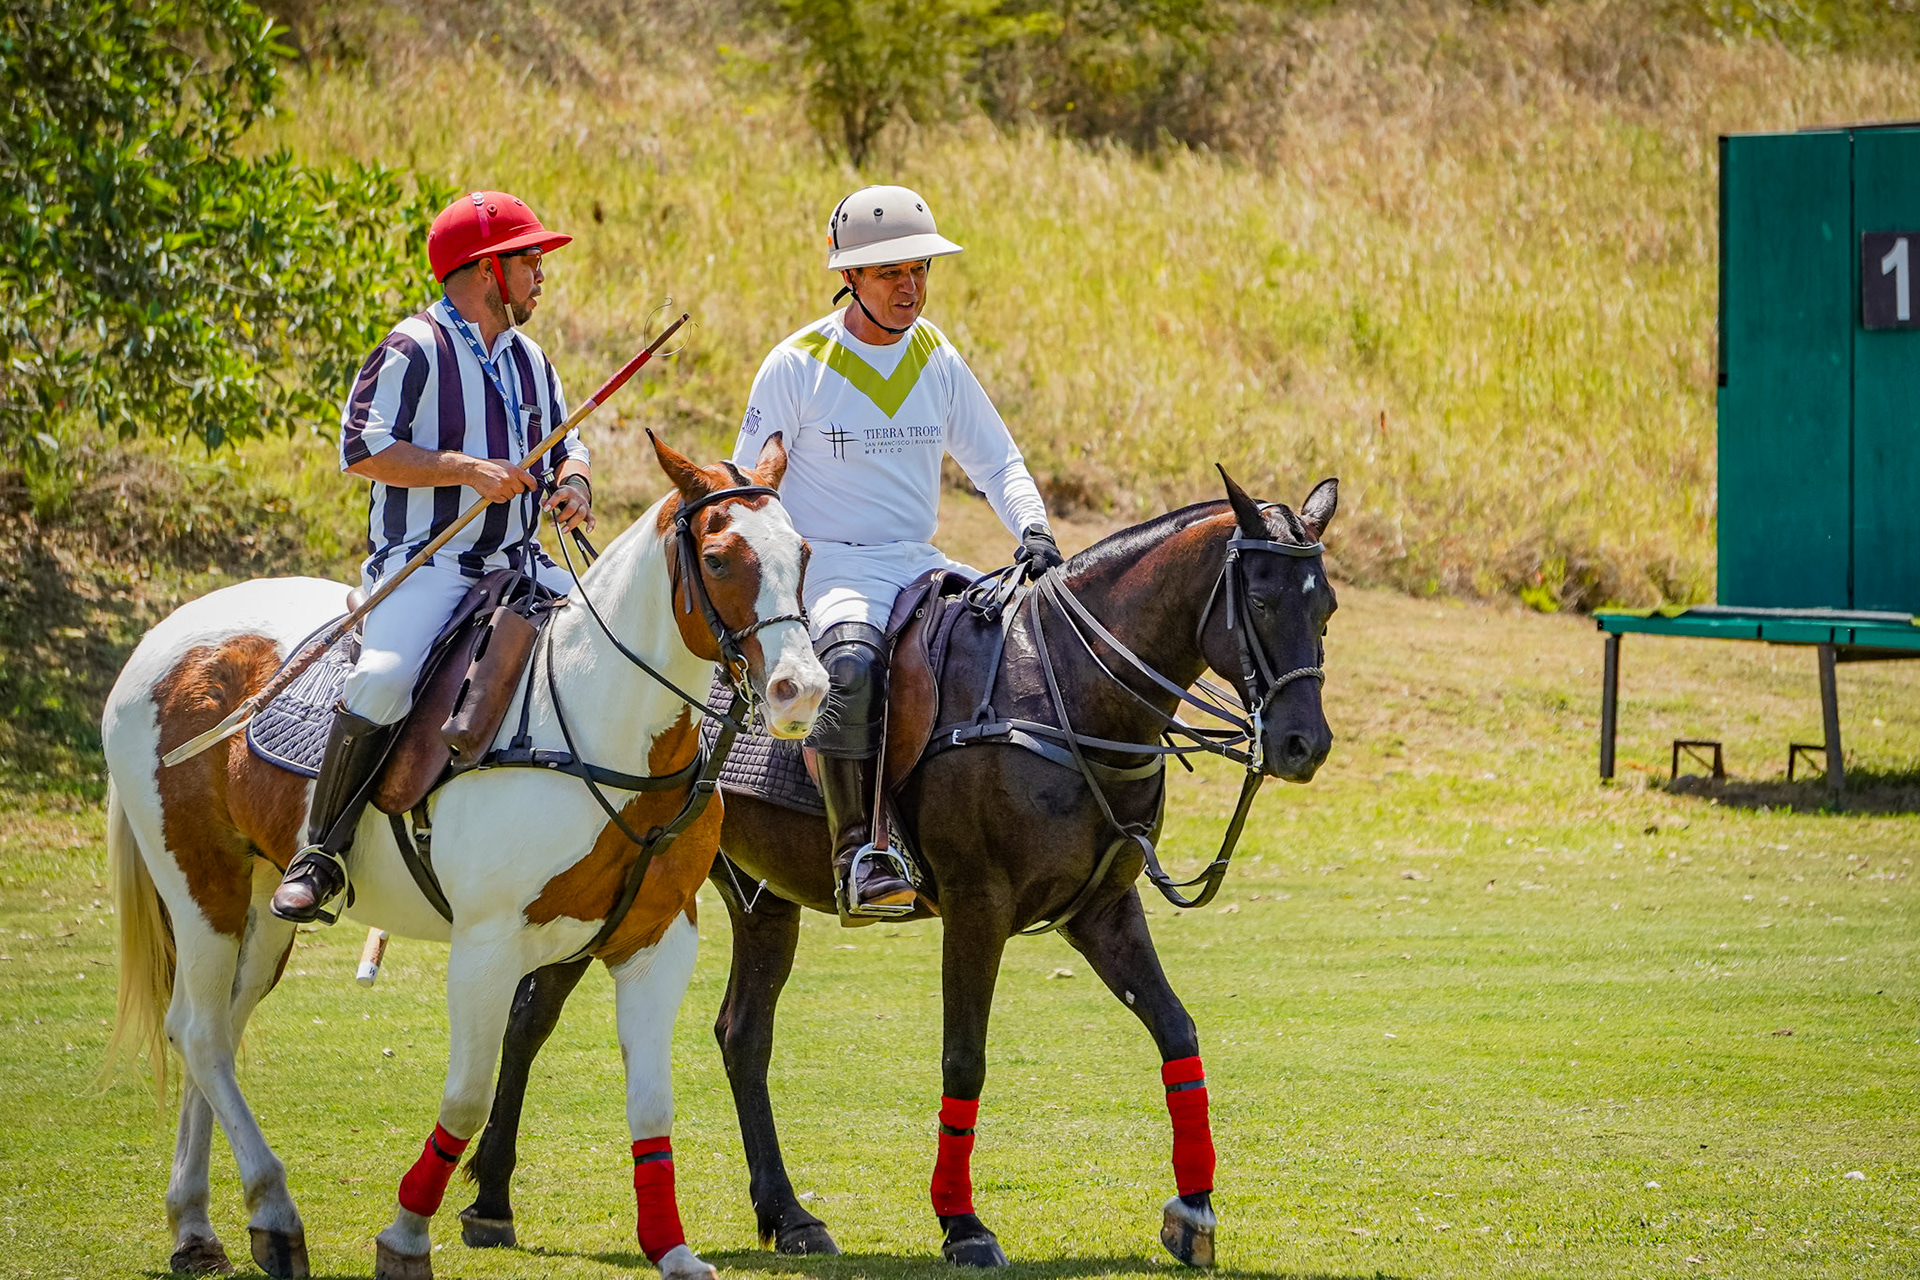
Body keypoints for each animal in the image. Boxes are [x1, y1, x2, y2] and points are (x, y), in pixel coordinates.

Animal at [101, 434, 826, 1280]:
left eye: (802, 552)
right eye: (716, 558)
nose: (801, 691)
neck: (599, 723)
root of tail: (167, 633)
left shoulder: (656, 941)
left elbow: (651, 1103)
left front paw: (672, 1249)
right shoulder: (486, 945)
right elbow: (468, 1094)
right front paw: (407, 1234)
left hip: (261, 900)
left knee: (214, 1021)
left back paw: (196, 1227)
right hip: (199, 880)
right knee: (201, 1032)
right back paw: (274, 1212)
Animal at [457, 470, 1340, 1268]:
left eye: (1325, 607)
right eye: (1263, 603)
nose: (1304, 745)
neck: (1064, 688)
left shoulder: (1102, 910)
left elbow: (1176, 1030)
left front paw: (1194, 1210)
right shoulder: (979, 906)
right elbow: (964, 1057)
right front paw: (964, 1225)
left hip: (757, 898)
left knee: (741, 1034)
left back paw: (790, 1217)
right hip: (608, 886)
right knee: (532, 1014)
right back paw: (490, 1200)